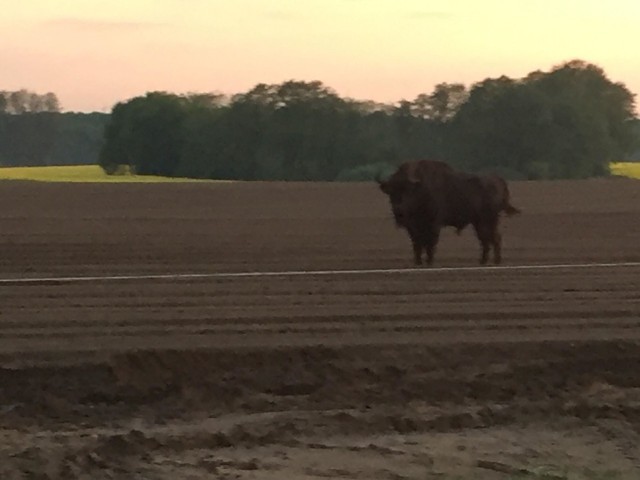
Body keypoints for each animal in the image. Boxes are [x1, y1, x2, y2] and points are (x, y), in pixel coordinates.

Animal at [376, 160, 520, 266]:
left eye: (407, 190)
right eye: (391, 192)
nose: (398, 210)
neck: (420, 188)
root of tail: (499, 181)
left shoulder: (434, 224)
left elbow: (430, 242)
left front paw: (429, 262)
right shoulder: (413, 228)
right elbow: (417, 244)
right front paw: (418, 262)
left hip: (487, 221)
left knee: (492, 238)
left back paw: (493, 261)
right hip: (479, 223)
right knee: (488, 239)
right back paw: (484, 261)